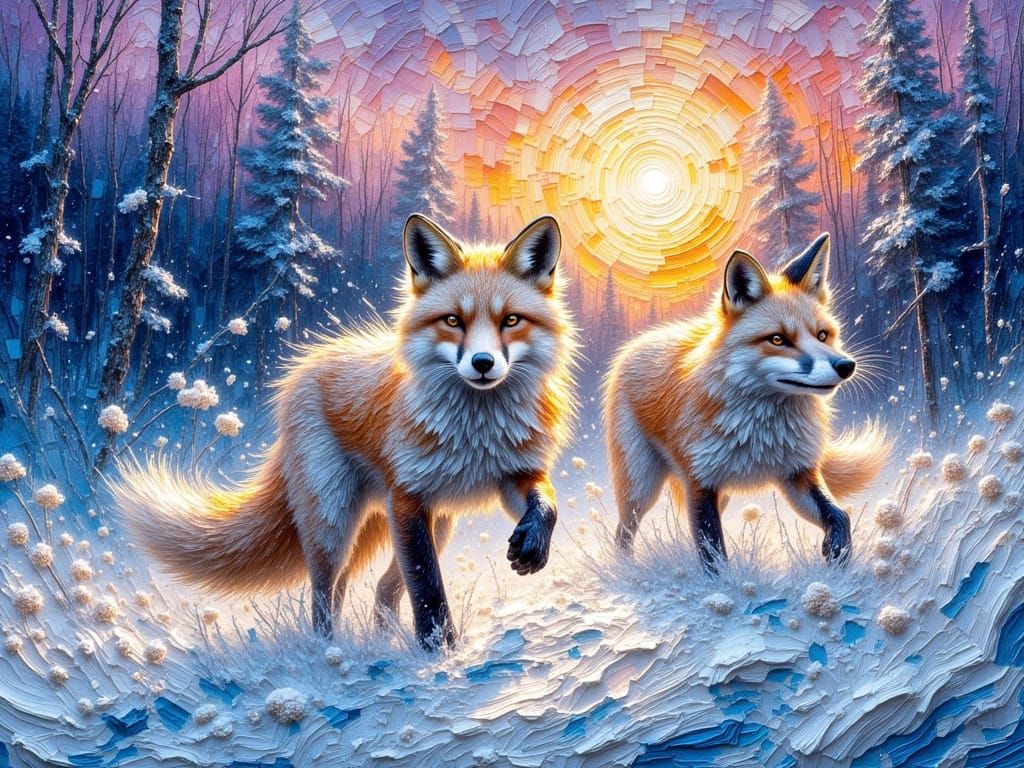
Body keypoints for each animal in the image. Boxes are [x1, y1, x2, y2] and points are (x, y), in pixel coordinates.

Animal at [113, 213, 577, 648]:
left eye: (511, 320)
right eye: (453, 321)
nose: (482, 363)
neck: (476, 432)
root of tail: (300, 373)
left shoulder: (513, 475)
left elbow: (547, 504)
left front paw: (532, 547)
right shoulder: (407, 500)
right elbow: (428, 589)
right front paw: (439, 653)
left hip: (423, 524)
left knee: (378, 588)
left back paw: (378, 641)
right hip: (335, 525)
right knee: (325, 592)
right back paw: (330, 652)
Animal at [604, 233, 888, 570]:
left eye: (822, 335)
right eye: (778, 339)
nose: (846, 366)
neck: (760, 435)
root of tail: (639, 341)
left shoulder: (796, 473)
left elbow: (839, 515)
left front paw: (837, 556)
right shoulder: (700, 481)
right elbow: (713, 553)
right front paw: (722, 583)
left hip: (719, 494)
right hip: (640, 486)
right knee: (624, 531)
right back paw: (624, 568)